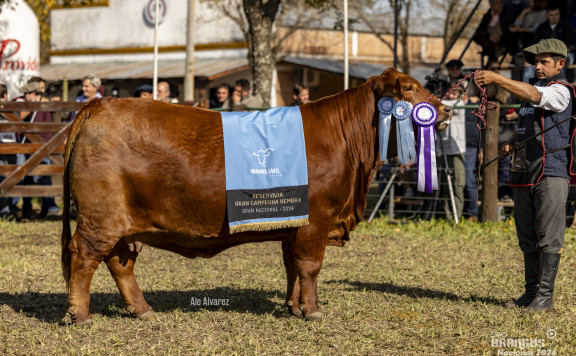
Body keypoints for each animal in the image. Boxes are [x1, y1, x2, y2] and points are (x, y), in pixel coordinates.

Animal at [60, 68, 452, 324]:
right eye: (409, 88)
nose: (446, 108)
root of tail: (100, 105)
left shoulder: (294, 221)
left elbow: (292, 266)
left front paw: (293, 306)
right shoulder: (316, 220)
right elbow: (310, 266)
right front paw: (313, 310)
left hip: (121, 223)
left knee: (119, 262)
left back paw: (142, 310)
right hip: (100, 218)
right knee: (84, 257)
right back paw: (79, 315)